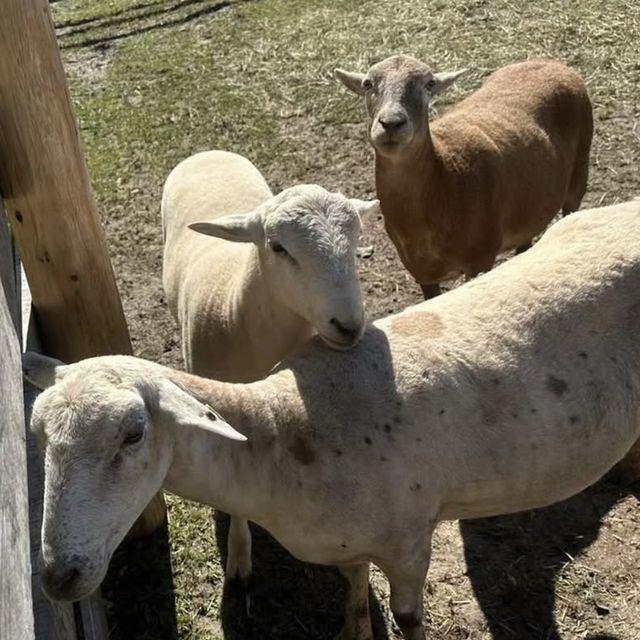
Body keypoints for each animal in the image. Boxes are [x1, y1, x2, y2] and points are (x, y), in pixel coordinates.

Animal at [26, 198, 640, 640]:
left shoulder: (410, 543)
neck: (285, 432)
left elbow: (409, 619)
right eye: (38, 435)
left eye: (133, 433)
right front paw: (353, 629)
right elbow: (355, 589)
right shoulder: (350, 540)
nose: (58, 577)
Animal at [335, 56, 594, 298]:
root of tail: (553, 63)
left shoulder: (481, 256)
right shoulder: (420, 271)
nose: (391, 123)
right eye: (368, 84)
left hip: (579, 173)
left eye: (429, 84)